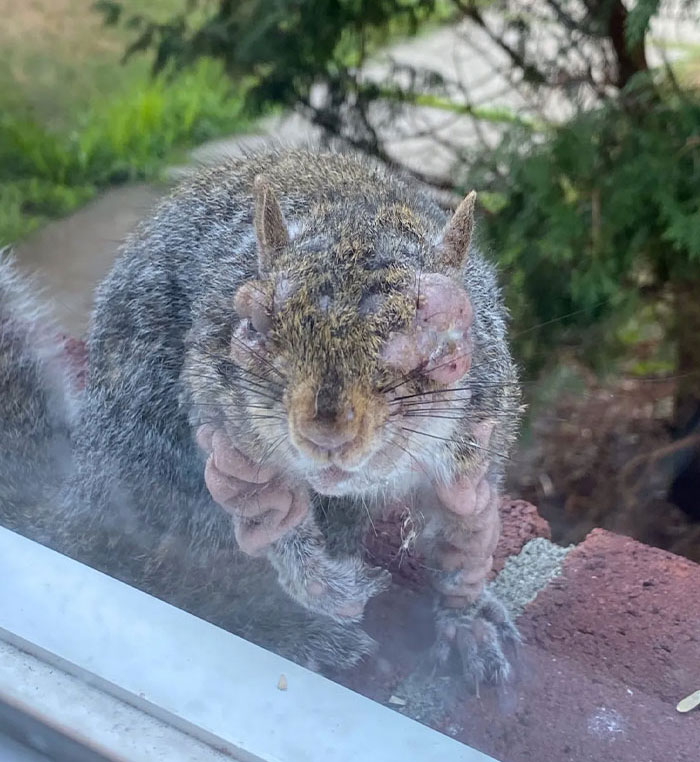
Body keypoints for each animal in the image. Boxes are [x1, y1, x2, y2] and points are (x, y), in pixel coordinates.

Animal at [0, 148, 522, 684]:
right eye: (251, 325)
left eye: (444, 341)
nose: (326, 432)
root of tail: (85, 492)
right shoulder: (228, 433)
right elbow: (272, 515)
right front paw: (325, 587)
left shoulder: (476, 446)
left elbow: (464, 537)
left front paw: (466, 618)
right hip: (161, 461)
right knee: (185, 578)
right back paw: (296, 628)